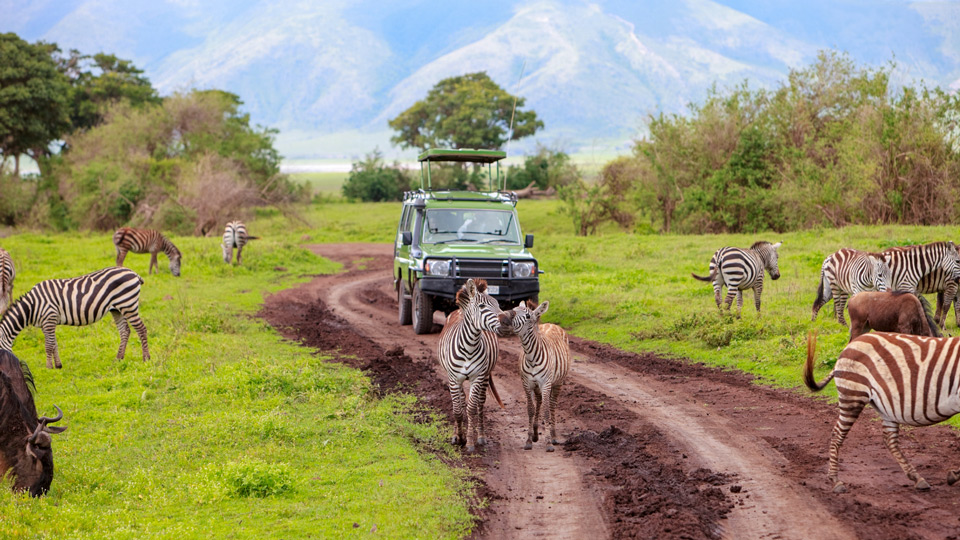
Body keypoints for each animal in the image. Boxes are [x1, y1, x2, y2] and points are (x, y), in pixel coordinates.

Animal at [0, 268, 150, 370]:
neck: (32, 306)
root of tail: (133, 273)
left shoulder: (49, 318)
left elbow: (48, 345)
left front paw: (49, 367)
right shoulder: (46, 323)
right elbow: (54, 344)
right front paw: (58, 365)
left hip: (128, 304)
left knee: (141, 328)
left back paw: (146, 358)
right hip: (117, 309)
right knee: (125, 331)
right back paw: (118, 359)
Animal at [438, 278, 506, 452]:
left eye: (497, 304)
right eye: (482, 306)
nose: (507, 321)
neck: (469, 346)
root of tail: (458, 310)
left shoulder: (478, 377)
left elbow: (471, 409)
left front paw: (468, 442)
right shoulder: (453, 379)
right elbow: (457, 410)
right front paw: (458, 437)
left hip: (485, 376)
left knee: (480, 404)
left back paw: (480, 436)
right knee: (461, 401)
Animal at [502, 300, 568, 452]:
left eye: (527, 316)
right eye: (514, 309)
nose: (504, 317)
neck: (531, 356)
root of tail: (551, 324)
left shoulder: (546, 383)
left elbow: (546, 411)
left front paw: (549, 443)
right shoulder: (527, 383)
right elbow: (531, 410)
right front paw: (528, 440)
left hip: (558, 382)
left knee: (552, 405)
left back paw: (554, 436)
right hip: (538, 386)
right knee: (539, 401)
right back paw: (536, 434)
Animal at [808, 330, 960, 494]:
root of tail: (852, 343)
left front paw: (954, 475)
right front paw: (955, 475)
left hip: (885, 407)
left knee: (889, 439)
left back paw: (917, 478)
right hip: (853, 395)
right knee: (837, 434)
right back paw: (835, 481)